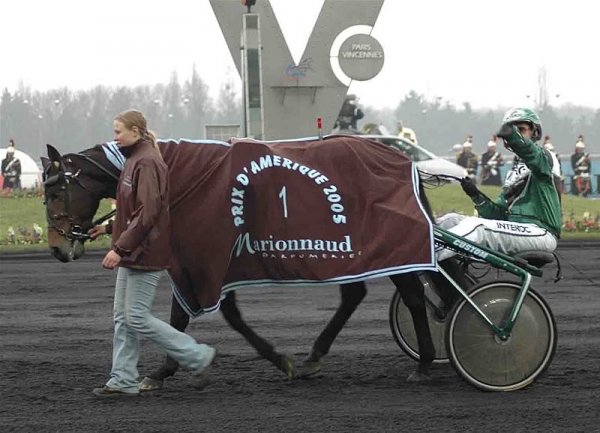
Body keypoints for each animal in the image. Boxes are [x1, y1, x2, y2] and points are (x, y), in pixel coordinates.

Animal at [41, 136, 464, 388]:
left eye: (56, 192)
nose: (59, 249)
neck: (175, 175)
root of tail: (402, 159)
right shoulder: (202, 260)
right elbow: (189, 315)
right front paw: (167, 369)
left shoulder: (207, 257)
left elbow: (213, 316)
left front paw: (165, 370)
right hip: (352, 254)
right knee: (355, 295)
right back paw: (316, 356)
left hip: (387, 244)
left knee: (413, 295)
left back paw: (424, 362)